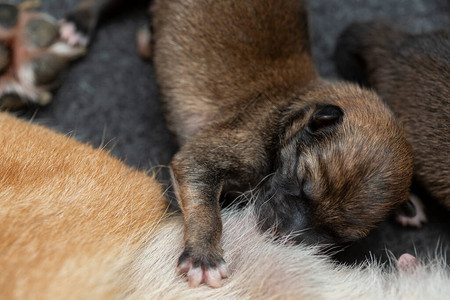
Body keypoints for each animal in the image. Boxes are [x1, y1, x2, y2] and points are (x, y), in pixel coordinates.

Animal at [60, 0, 414, 288]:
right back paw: (80, 23)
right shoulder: (221, 150)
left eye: (338, 236)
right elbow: (206, 205)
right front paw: (204, 256)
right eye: (300, 182)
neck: (291, 107)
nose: (277, 236)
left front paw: (410, 205)